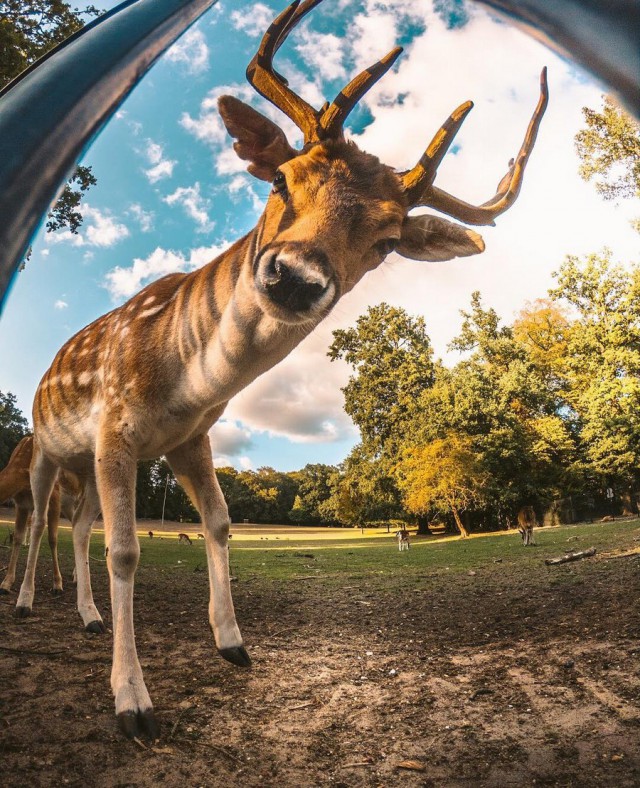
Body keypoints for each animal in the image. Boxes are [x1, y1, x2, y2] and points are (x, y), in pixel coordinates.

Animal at [20, 0, 548, 740]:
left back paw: (89, 616)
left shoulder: (186, 438)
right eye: (280, 180)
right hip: (44, 447)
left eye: (388, 241)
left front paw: (233, 644)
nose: (295, 276)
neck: (181, 380)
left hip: (81, 461)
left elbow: (217, 522)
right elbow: (126, 550)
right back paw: (24, 602)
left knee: (74, 525)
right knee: (39, 520)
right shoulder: (118, 427)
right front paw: (133, 705)